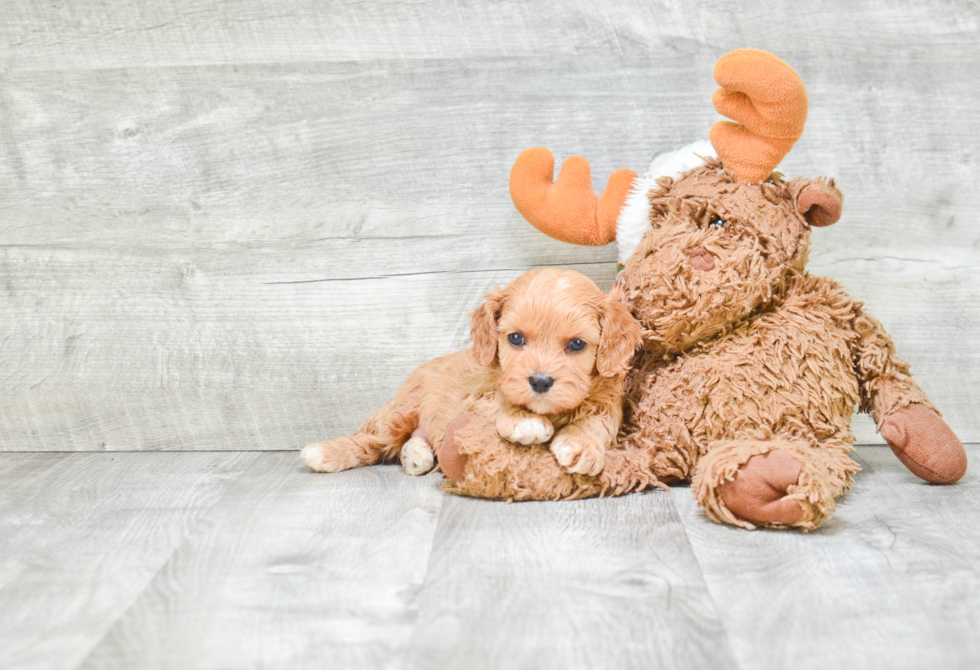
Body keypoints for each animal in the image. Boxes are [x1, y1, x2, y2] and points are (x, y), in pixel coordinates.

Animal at [302, 268, 640, 478]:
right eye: (515, 338)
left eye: (577, 344)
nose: (540, 381)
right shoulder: (473, 399)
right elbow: (498, 403)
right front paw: (522, 420)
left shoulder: (609, 401)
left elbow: (599, 421)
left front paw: (581, 443)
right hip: (401, 410)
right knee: (369, 440)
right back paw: (324, 453)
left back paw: (416, 454)